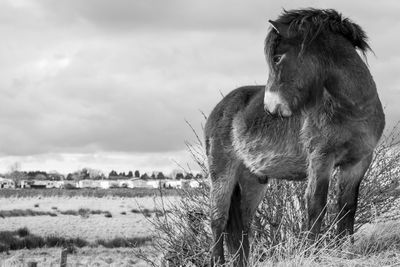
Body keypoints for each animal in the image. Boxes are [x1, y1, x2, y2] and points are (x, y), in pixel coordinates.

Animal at [205, 7, 386, 266]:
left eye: (277, 58)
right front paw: (312, 253)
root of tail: (219, 109)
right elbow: (316, 204)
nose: (270, 109)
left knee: (244, 224)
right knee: (217, 221)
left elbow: (347, 206)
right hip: (222, 174)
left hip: (253, 181)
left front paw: (345, 251)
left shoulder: (359, 161)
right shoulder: (321, 159)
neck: (352, 109)